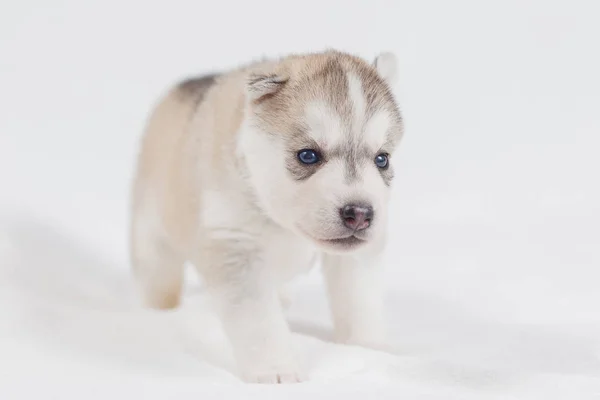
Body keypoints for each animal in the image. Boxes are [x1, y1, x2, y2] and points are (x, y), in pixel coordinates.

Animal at [131, 48, 404, 382]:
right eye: (308, 155)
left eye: (382, 159)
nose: (360, 213)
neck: (281, 223)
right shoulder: (236, 246)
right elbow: (259, 320)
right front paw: (276, 369)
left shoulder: (356, 257)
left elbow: (360, 302)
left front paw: (368, 349)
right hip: (153, 239)